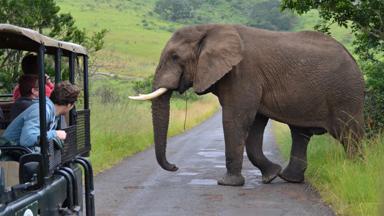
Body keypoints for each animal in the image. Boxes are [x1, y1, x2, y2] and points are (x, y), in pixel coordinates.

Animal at [130, 23, 364, 186]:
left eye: (175, 56)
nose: (175, 166)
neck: (209, 29)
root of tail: (354, 62)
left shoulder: (244, 74)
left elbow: (236, 119)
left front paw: (227, 184)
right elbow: (255, 125)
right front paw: (271, 176)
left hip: (346, 94)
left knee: (349, 134)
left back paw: (356, 171)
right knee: (301, 134)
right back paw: (289, 179)